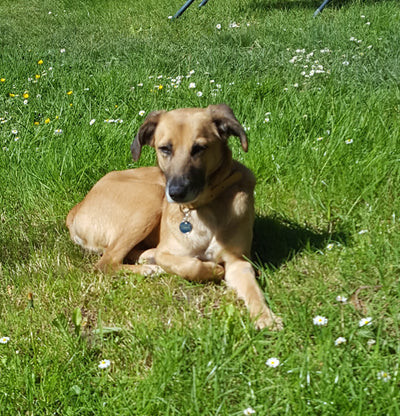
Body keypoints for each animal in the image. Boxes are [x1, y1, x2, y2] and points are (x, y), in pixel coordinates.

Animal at [66, 105, 282, 332]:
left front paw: (265, 317)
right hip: (151, 198)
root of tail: (78, 207)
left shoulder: (238, 261)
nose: (177, 193)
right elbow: (190, 266)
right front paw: (212, 269)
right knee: (106, 262)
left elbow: (253, 290)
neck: (201, 209)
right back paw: (150, 268)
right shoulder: (168, 253)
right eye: (165, 149)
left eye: (199, 148)